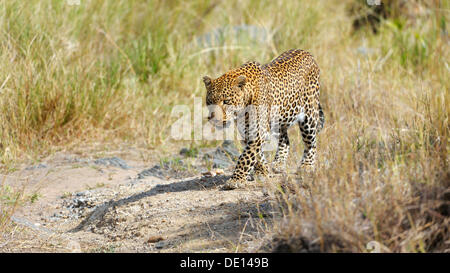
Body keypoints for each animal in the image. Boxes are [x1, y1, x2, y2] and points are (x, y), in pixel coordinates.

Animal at [203, 49, 324, 189]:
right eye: (210, 102)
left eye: (226, 101)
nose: (214, 119)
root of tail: (307, 52)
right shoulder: (247, 131)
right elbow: (256, 154)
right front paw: (263, 171)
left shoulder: (258, 131)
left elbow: (246, 156)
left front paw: (236, 179)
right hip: (279, 118)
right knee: (285, 139)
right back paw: (278, 163)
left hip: (309, 115)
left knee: (311, 142)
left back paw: (307, 165)